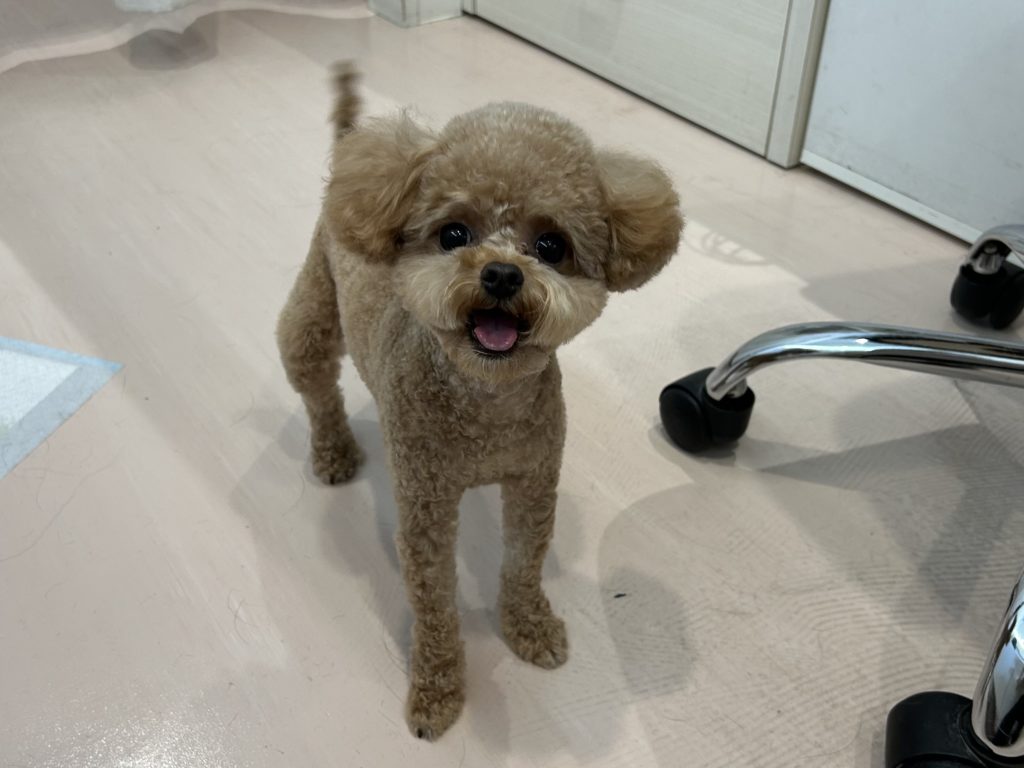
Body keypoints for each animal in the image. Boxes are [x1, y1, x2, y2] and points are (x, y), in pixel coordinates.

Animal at [277, 63, 682, 740]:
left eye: (550, 246)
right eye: (454, 234)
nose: (499, 274)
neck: (485, 404)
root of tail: (351, 151)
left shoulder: (533, 481)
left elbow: (523, 563)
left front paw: (530, 628)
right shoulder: (426, 508)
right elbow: (435, 604)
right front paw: (437, 692)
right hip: (308, 320)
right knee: (318, 392)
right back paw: (333, 451)